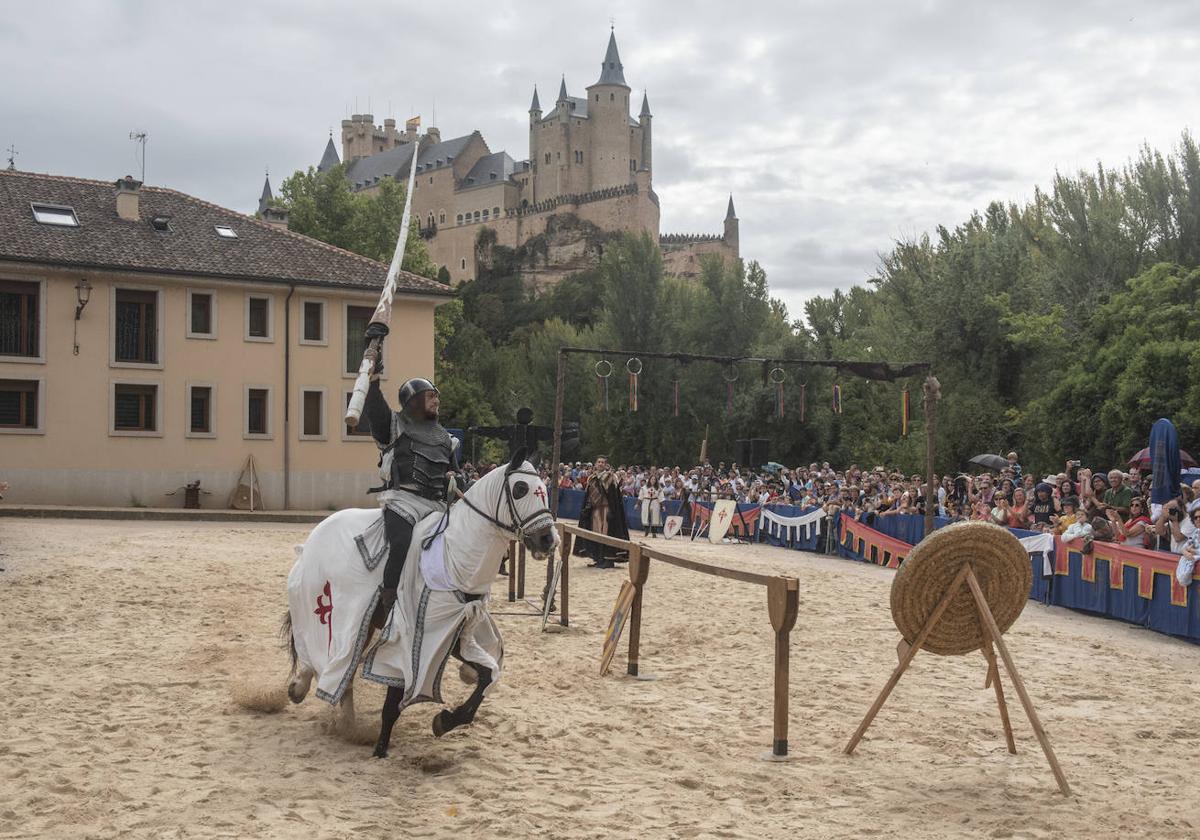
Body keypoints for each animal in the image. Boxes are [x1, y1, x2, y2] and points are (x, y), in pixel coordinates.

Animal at [280, 448, 556, 758]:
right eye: (520, 489)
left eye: (544, 489)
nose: (548, 540)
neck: (454, 554)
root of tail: (313, 538)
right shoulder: (414, 637)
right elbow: (394, 699)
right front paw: (381, 749)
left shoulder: (456, 634)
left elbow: (488, 676)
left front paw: (446, 720)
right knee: (325, 659)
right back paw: (311, 694)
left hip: (361, 625)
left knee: (344, 669)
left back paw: (342, 719)